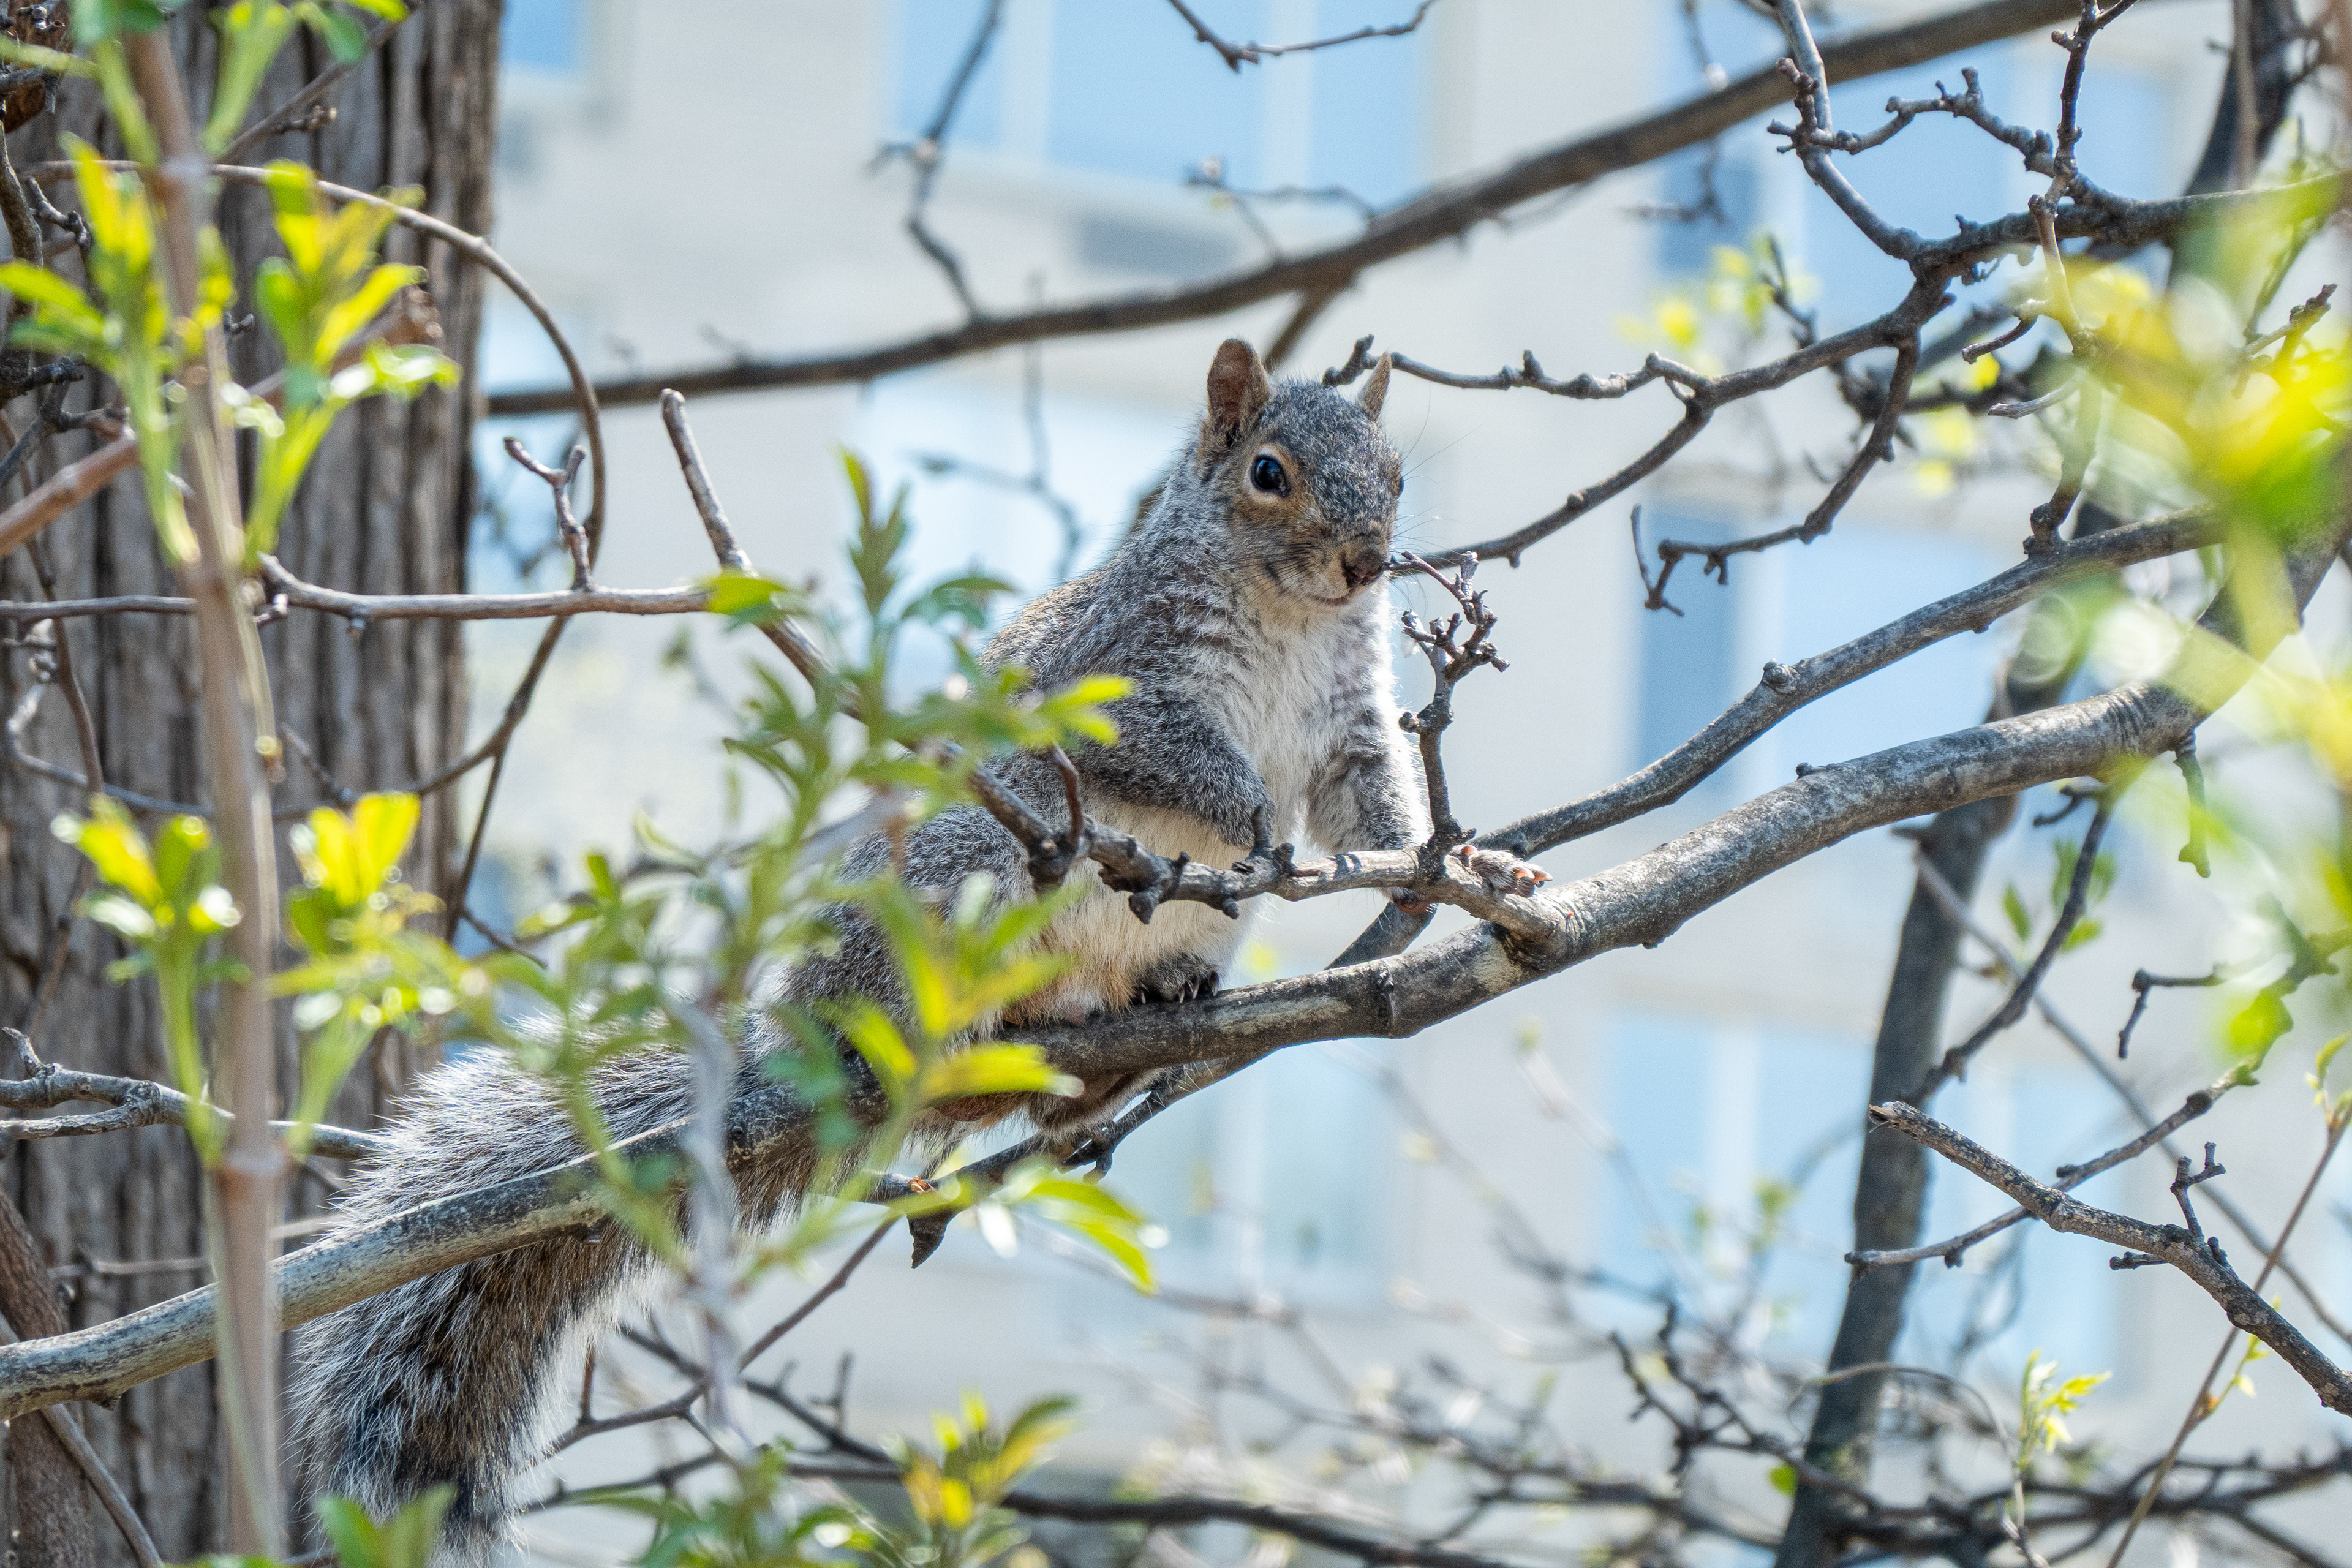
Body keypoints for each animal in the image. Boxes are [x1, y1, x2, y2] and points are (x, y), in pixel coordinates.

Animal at [286, 338, 1432, 1565]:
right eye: (1269, 472)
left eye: (1398, 473)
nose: (1368, 563)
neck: (1292, 614)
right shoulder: (1118, 676)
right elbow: (1169, 754)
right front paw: (1251, 808)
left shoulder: (1353, 720)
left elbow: (1372, 797)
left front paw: (1440, 864)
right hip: (972, 865)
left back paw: (1136, 1028)